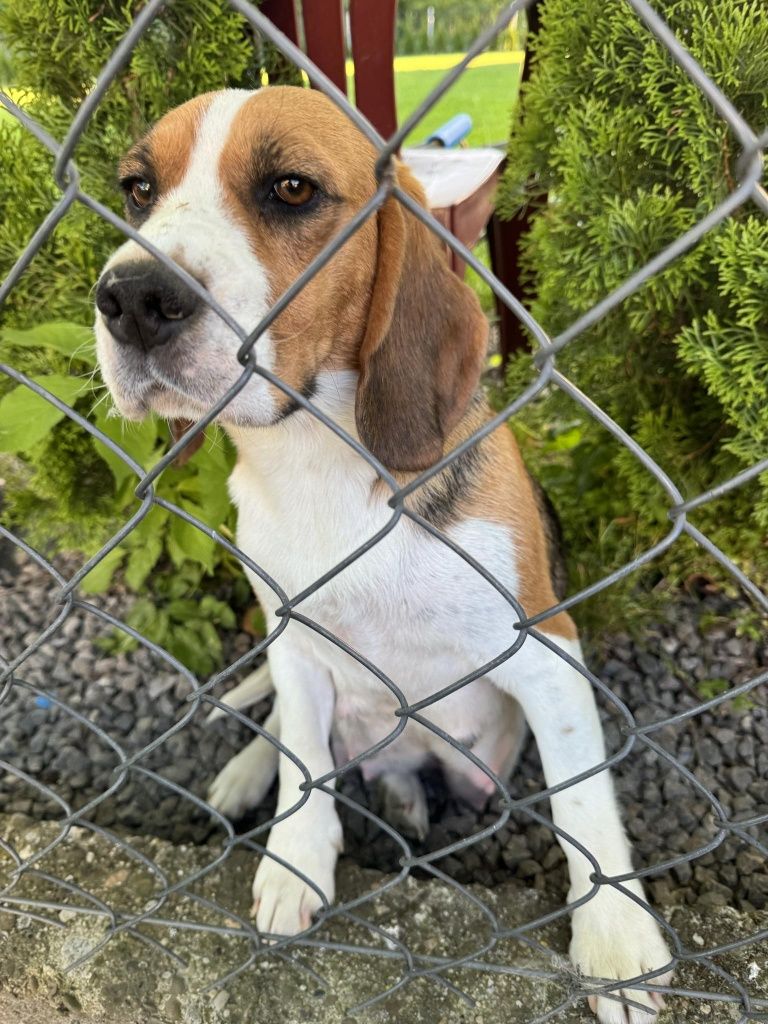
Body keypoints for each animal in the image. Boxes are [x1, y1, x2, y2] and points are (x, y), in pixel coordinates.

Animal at [94, 90, 671, 1024]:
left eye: (292, 188)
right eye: (138, 189)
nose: (132, 297)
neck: (316, 465)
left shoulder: (546, 648)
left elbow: (583, 800)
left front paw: (616, 941)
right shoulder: (291, 634)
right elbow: (302, 751)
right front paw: (294, 852)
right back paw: (254, 775)